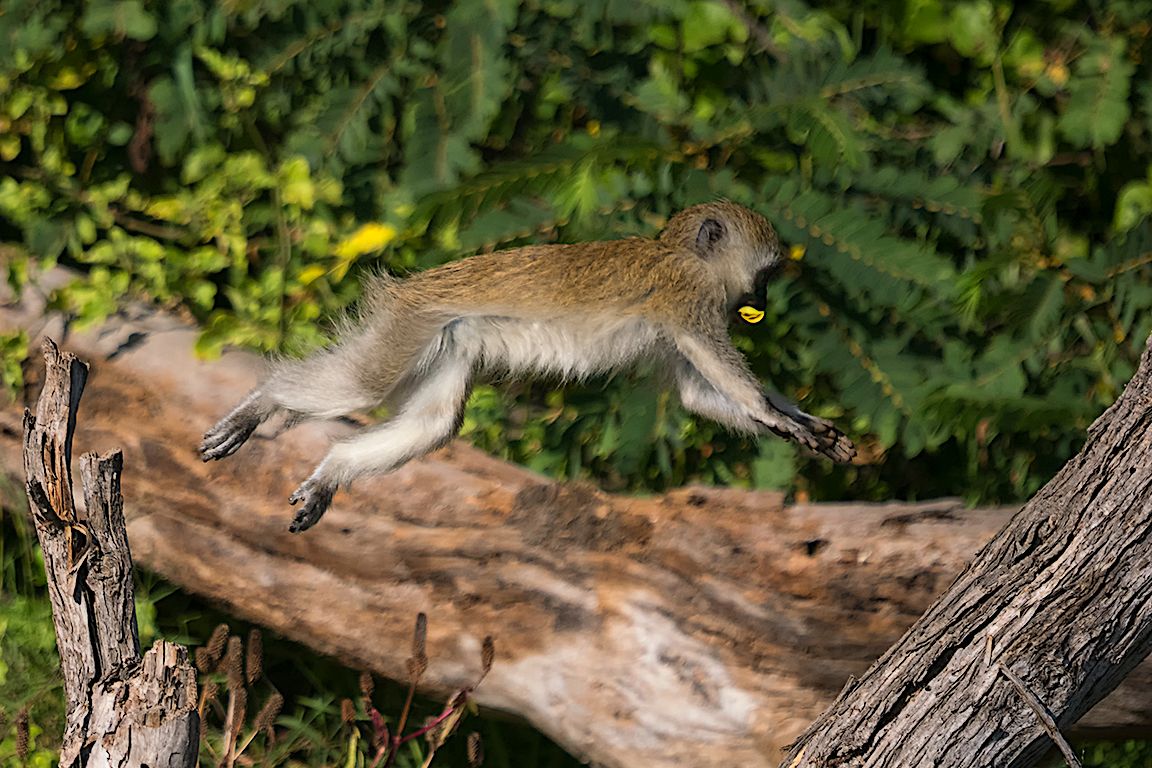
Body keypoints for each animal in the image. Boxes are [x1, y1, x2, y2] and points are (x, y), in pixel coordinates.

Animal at [201, 201, 855, 532]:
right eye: (765, 274)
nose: (762, 301)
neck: (679, 252)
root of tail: (412, 286)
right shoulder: (687, 299)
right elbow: (718, 365)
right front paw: (780, 418)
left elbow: (696, 394)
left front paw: (810, 428)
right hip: (406, 323)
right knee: (359, 387)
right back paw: (260, 403)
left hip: (448, 340)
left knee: (434, 423)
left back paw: (332, 473)